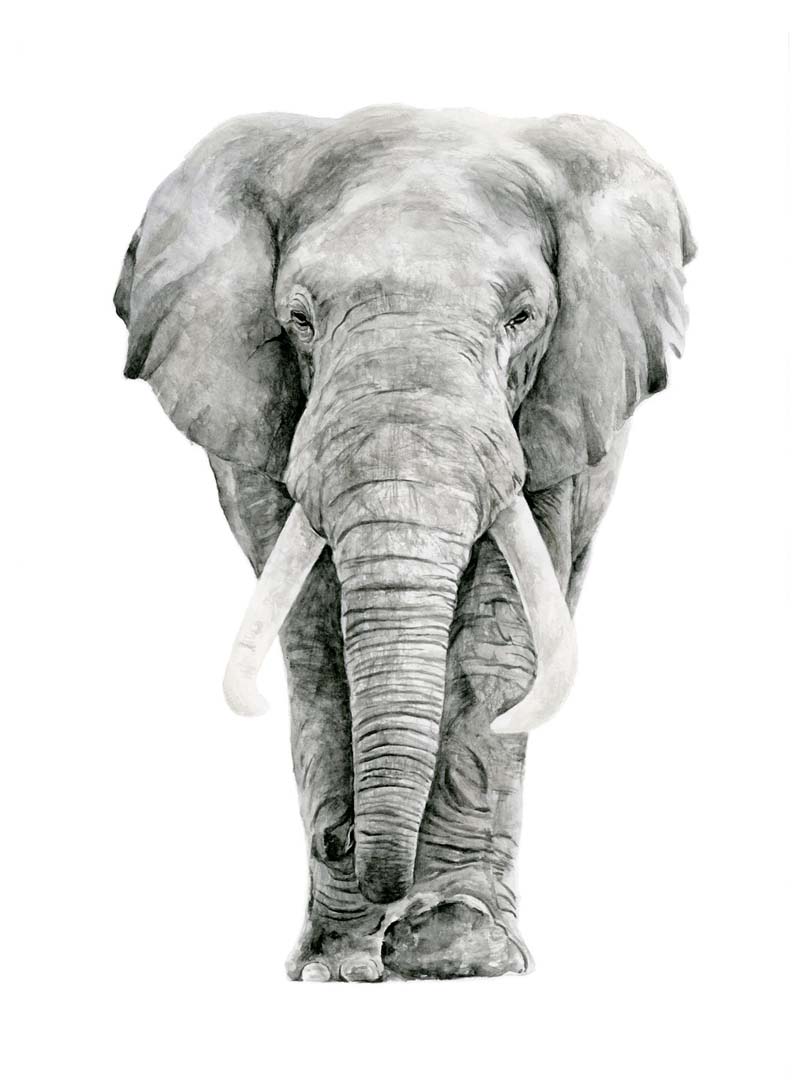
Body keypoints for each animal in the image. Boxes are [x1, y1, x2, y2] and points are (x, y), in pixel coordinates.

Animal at [114, 106, 694, 982]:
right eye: (299, 318)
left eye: (523, 317)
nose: (344, 844)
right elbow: (315, 638)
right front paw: (336, 964)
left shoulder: (557, 408)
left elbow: (499, 632)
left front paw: (455, 947)